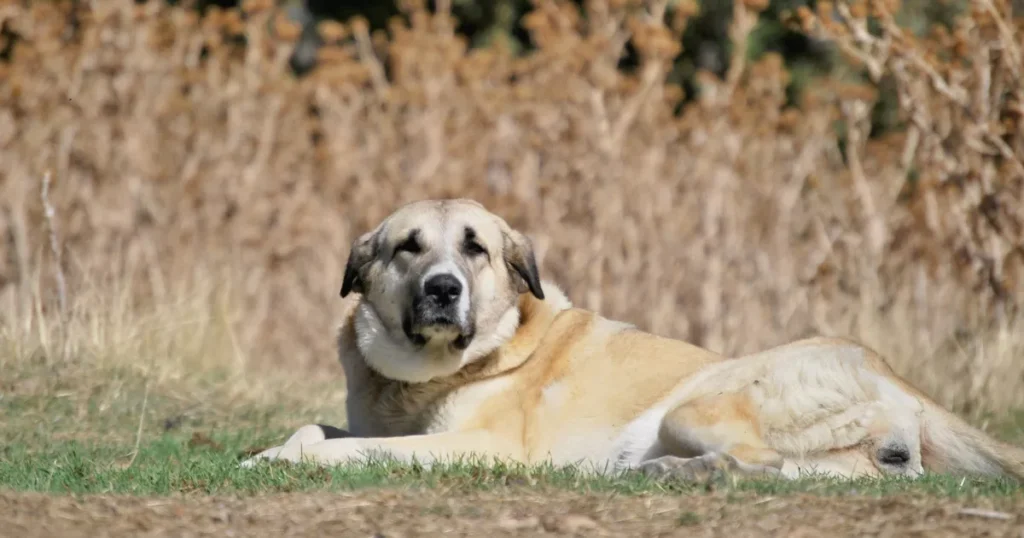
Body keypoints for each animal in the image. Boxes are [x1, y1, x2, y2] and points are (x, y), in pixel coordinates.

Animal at [241, 196, 1024, 481]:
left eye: (475, 249)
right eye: (409, 247)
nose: (442, 289)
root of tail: (888, 369)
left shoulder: (482, 446)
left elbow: (352, 449)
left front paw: (283, 458)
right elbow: (317, 428)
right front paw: (268, 449)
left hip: (697, 405)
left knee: (759, 463)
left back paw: (671, 473)